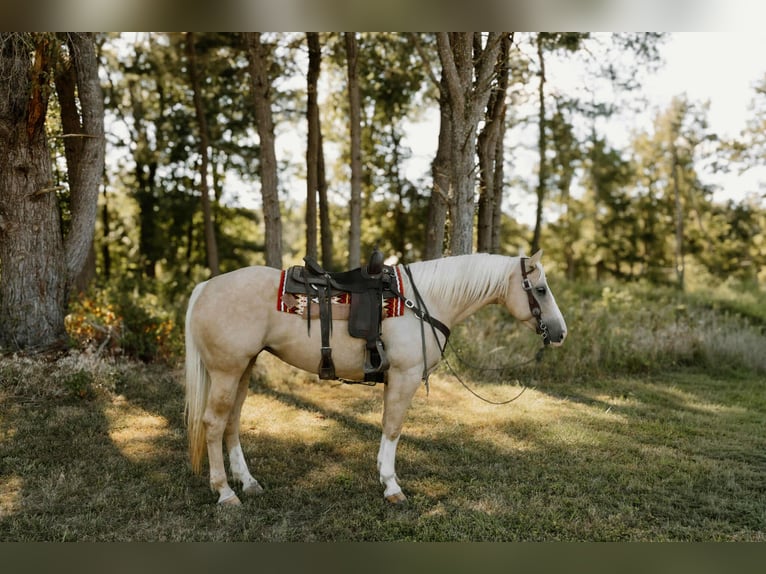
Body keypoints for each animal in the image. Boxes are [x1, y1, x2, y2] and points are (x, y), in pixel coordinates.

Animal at [184, 250, 567, 505]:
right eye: (541, 289)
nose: (560, 333)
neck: (423, 302)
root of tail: (205, 287)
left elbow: (387, 426)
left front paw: (385, 476)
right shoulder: (404, 376)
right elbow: (393, 427)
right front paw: (392, 486)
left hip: (243, 369)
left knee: (232, 422)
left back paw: (248, 483)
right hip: (227, 371)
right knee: (214, 424)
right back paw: (225, 493)